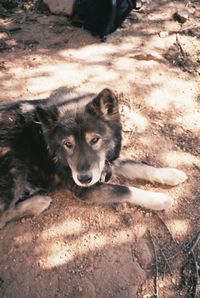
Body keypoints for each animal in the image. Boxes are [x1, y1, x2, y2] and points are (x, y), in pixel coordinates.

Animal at [0, 88, 188, 228]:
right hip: (14, 164)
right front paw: (159, 199)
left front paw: (170, 174)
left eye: (95, 140)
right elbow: (125, 189)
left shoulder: (105, 161)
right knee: (3, 217)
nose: (84, 179)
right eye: (68, 144)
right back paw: (37, 203)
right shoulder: (85, 189)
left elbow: (138, 165)